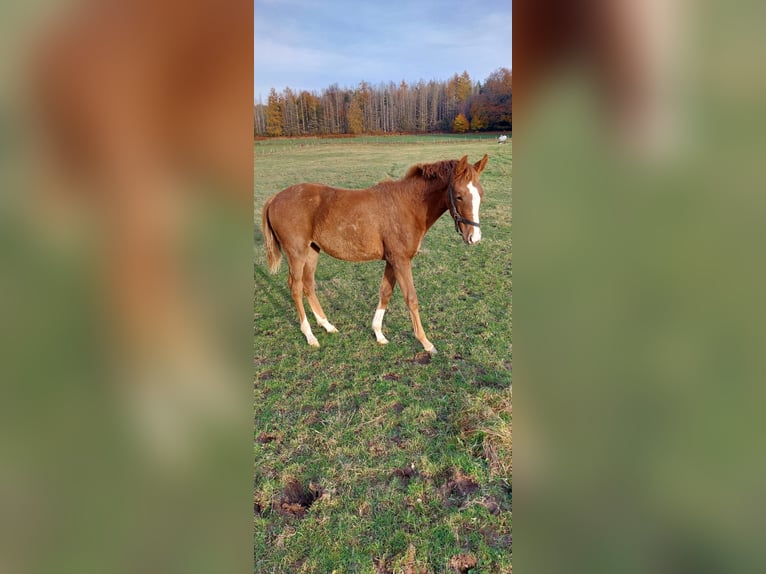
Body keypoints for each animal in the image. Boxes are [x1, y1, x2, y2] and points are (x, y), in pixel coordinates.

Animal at [260, 152, 488, 356]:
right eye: (458, 196)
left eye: (481, 194)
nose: (474, 238)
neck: (408, 205)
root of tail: (274, 198)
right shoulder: (401, 261)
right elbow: (411, 298)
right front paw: (426, 343)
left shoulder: (392, 261)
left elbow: (385, 292)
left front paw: (379, 334)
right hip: (296, 253)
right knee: (295, 287)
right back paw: (310, 335)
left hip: (312, 250)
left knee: (308, 285)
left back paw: (327, 325)